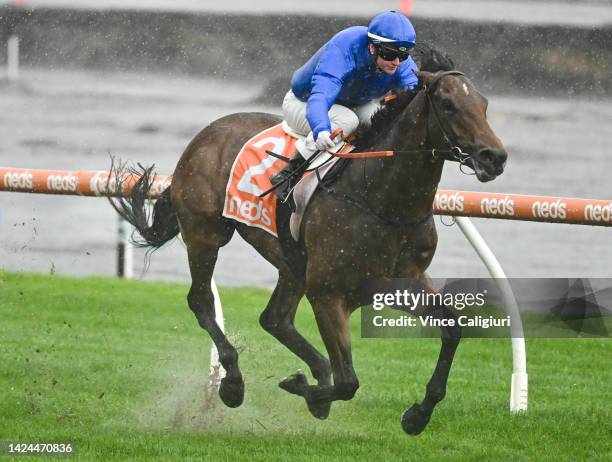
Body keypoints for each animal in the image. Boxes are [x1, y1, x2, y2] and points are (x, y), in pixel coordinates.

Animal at [110, 53, 506, 434]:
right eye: (448, 104)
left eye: (485, 104)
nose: (495, 157)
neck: (381, 201)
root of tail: (206, 133)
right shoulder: (328, 295)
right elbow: (348, 382)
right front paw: (304, 389)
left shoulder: (401, 283)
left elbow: (453, 328)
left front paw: (417, 415)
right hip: (205, 233)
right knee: (202, 300)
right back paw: (233, 383)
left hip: (292, 263)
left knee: (274, 319)